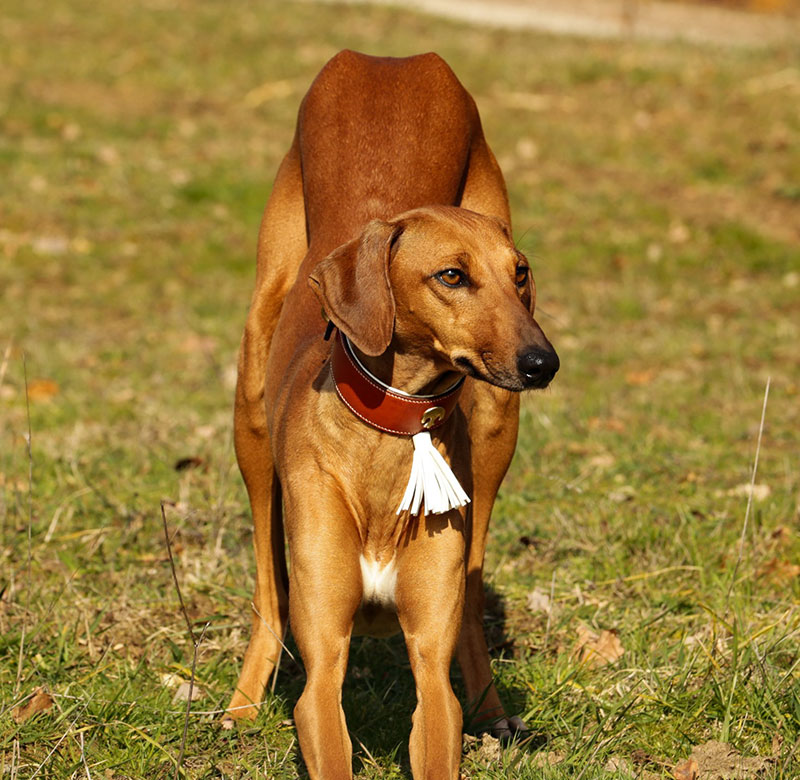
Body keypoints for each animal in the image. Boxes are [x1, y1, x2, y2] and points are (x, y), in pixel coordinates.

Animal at [223, 50, 564, 780]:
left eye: (519, 273)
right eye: (451, 275)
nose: (542, 362)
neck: (392, 433)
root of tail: (390, 61)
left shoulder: (431, 673)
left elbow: (438, 688)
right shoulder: (324, 669)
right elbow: (319, 689)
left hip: (497, 430)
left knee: (470, 602)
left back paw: (493, 709)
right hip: (252, 406)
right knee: (270, 595)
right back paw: (240, 704)